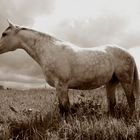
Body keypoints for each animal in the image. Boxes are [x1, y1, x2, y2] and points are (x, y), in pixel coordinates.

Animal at [0, 20, 138, 116]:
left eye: (4, 34)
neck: (49, 50)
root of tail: (129, 54)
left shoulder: (61, 85)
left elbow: (65, 107)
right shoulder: (59, 87)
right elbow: (62, 107)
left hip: (125, 80)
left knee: (131, 100)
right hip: (111, 82)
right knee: (112, 102)